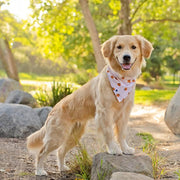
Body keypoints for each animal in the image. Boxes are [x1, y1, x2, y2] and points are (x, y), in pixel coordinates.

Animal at [26, 34, 153, 175]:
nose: (126, 57)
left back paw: (63, 167)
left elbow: (121, 134)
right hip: (57, 136)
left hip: (74, 136)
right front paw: (114, 149)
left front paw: (125, 148)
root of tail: (52, 110)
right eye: (119, 47)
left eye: (133, 47)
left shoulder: (124, 113)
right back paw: (40, 171)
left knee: (60, 151)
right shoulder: (105, 112)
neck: (122, 78)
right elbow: (109, 132)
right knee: (41, 152)